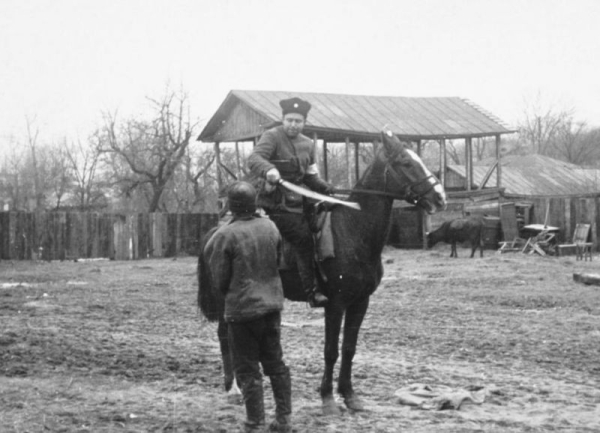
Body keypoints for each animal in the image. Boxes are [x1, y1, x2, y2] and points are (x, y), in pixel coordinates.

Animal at [199, 129, 448, 416]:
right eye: (406, 163)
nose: (440, 197)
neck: (351, 230)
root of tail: (216, 232)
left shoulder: (360, 302)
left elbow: (349, 348)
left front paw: (350, 396)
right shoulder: (335, 303)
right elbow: (331, 350)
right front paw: (328, 398)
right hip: (225, 301)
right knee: (224, 336)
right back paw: (233, 388)